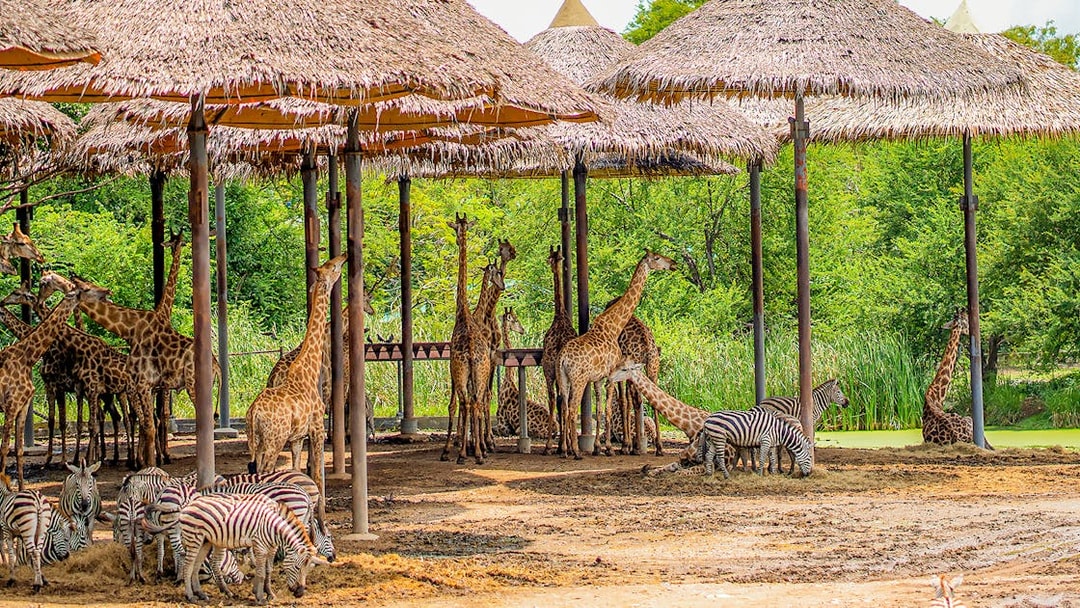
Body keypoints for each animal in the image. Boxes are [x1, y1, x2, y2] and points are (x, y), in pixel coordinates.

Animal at [3, 285, 132, 467]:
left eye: (16, 293)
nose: (2, 301)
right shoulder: (62, 387)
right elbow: (57, 421)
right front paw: (57, 459)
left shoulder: (64, 387)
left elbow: (69, 423)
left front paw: (66, 460)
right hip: (107, 395)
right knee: (114, 416)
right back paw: (110, 457)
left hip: (119, 393)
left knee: (127, 418)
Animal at [173, 493, 327, 603]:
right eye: (297, 567)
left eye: (309, 569)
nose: (300, 594)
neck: (274, 526)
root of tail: (189, 504)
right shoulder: (260, 546)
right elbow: (261, 572)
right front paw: (259, 597)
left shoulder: (271, 547)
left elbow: (268, 570)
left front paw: (268, 593)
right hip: (194, 538)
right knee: (188, 565)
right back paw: (191, 596)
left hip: (206, 540)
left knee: (199, 564)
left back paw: (203, 593)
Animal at [246, 254, 347, 519]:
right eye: (333, 267)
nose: (344, 256)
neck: (308, 369)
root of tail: (253, 413)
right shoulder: (316, 428)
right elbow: (318, 476)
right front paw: (323, 520)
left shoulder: (297, 438)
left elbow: (297, 470)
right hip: (273, 441)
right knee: (265, 473)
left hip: (256, 442)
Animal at [554, 250, 676, 459]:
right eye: (657, 257)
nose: (673, 263)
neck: (612, 326)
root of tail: (562, 359)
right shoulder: (611, 375)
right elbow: (611, 407)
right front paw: (610, 448)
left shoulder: (597, 378)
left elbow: (599, 408)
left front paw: (598, 447)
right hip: (578, 380)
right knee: (572, 409)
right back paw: (576, 452)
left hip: (564, 379)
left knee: (564, 407)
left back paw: (565, 450)